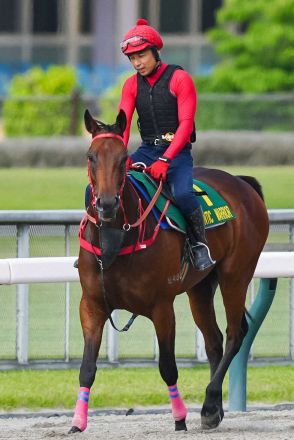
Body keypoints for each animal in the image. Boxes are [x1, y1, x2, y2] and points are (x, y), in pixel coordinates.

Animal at [69, 109, 268, 434]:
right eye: (90, 156)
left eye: (123, 158)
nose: (107, 204)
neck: (117, 238)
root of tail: (242, 183)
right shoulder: (92, 305)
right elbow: (86, 368)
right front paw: (77, 423)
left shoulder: (162, 307)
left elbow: (167, 367)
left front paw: (179, 419)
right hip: (200, 286)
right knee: (213, 341)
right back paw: (215, 409)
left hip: (236, 274)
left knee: (234, 334)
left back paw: (209, 405)